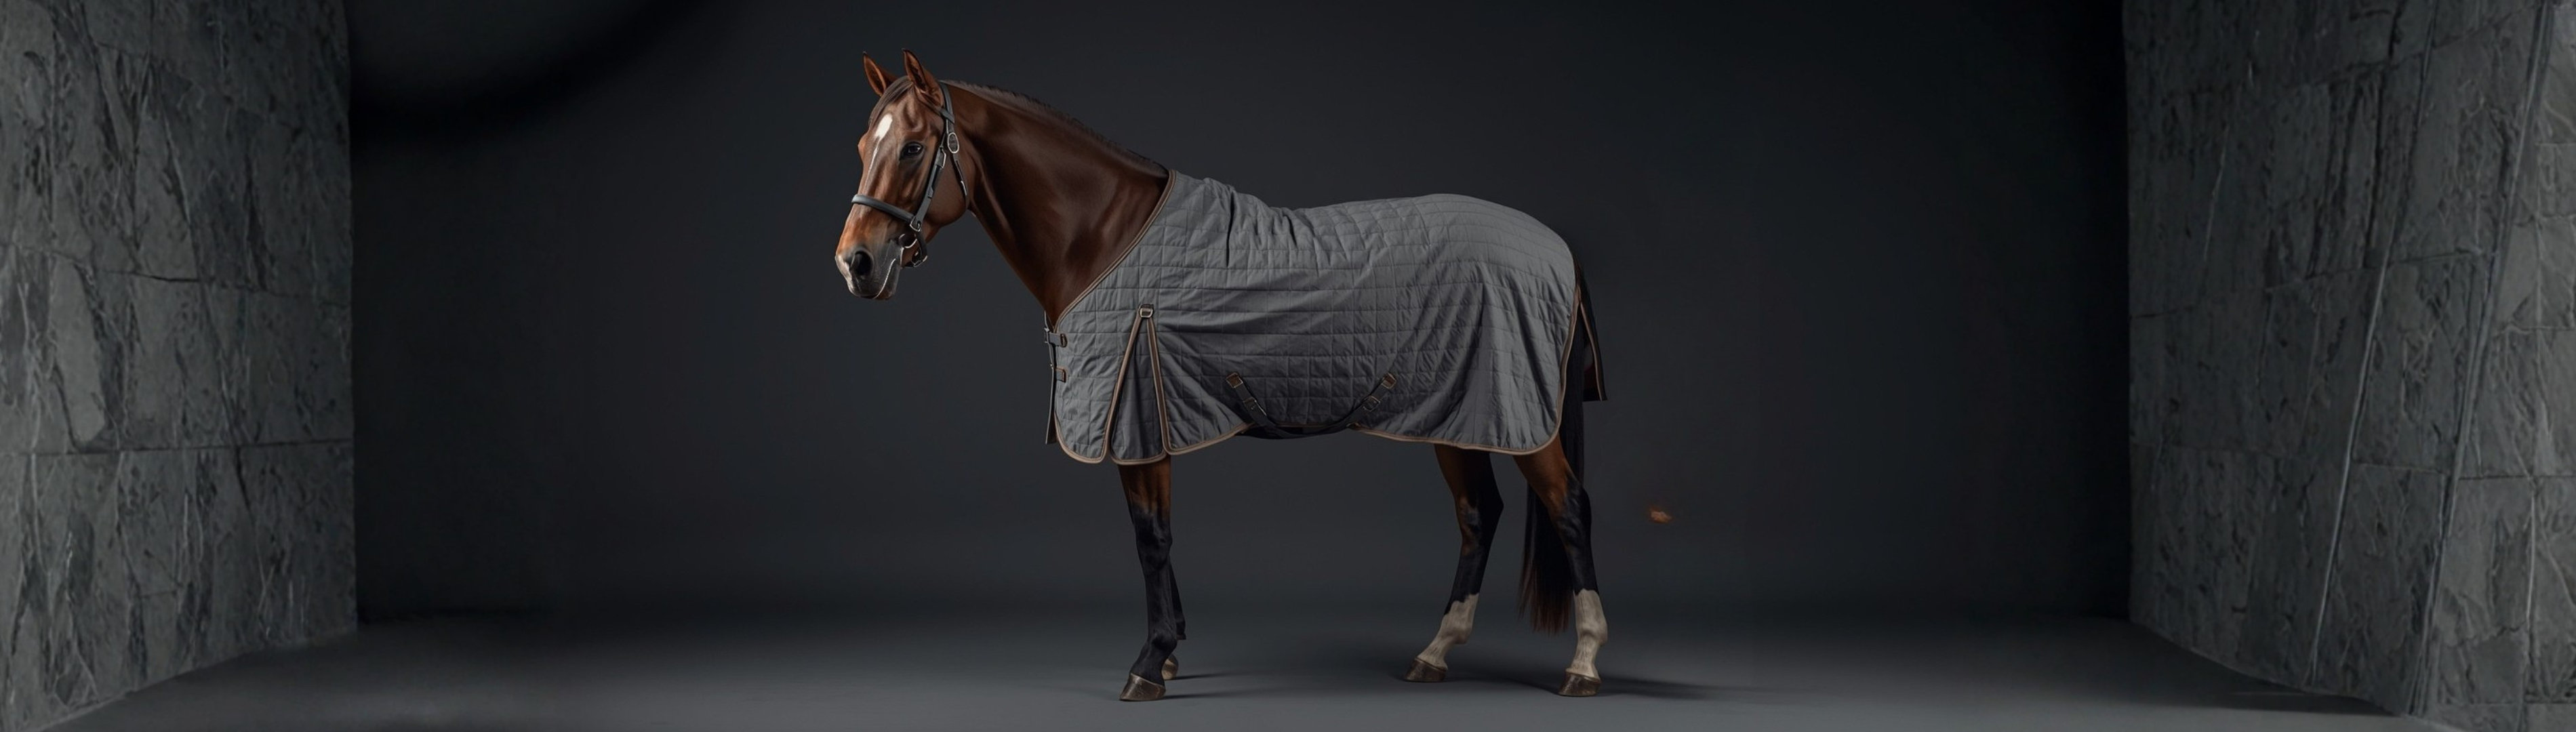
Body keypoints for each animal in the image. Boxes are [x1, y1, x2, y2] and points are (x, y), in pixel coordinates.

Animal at [831, 50, 1610, 701]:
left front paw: (1150, 664)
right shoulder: (1150, 416)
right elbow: (1156, 536)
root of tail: (1556, 248)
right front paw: (1171, 651)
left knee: (1569, 507)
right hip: (1459, 414)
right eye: (864, 147)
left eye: (911, 147)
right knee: (1478, 515)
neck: (1102, 238)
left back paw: (1583, 664)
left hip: (1521, 421)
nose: (855, 264)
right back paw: (1435, 653)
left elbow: (1151, 537)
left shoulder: (1136, 413)